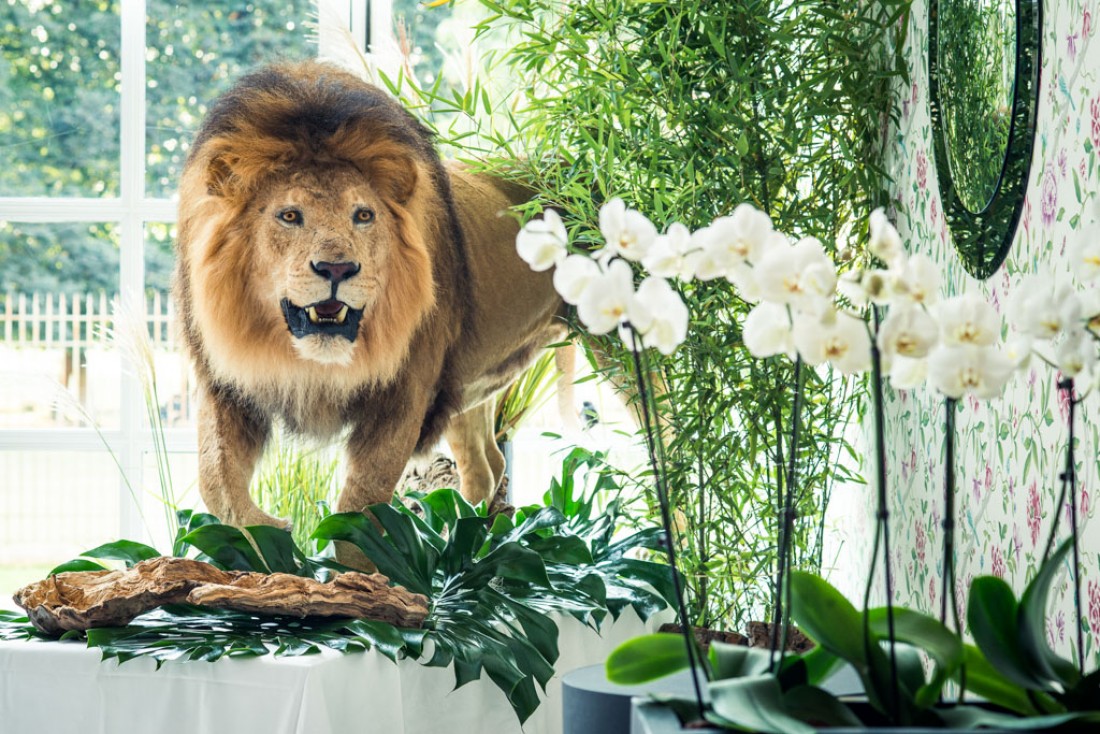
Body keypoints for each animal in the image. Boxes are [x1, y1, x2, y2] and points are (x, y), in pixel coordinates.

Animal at [173, 61, 567, 534]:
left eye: (363, 215)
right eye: (290, 215)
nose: (337, 269)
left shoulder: (406, 392)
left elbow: (358, 507)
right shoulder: (223, 380)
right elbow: (216, 483)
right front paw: (271, 529)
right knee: (486, 467)